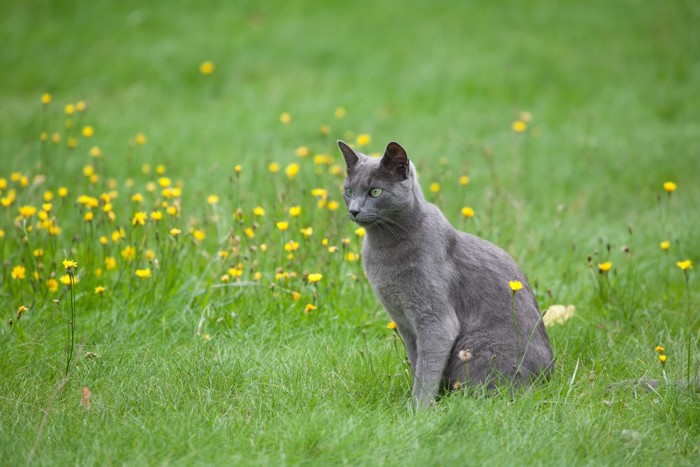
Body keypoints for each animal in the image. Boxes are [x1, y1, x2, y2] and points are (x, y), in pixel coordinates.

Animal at [340, 141, 552, 408]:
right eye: (348, 191)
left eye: (375, 192)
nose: (354, 210)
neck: (384, 248)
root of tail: (548, 380)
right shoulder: (404, 323)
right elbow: (418, 362)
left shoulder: (435, 320)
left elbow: (427, 368)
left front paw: (418, 409)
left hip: (479, 347)